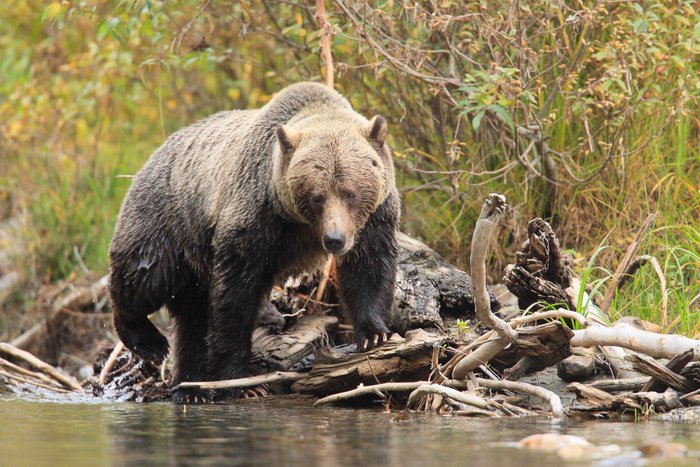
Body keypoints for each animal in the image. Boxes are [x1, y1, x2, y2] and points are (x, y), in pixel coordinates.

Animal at [112, 82, 402, 404]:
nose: (334, 239)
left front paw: (375, 333)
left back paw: (190, 386)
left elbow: (369, 267)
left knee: (191, 318)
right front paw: (243, 381)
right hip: (165, 222)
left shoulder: (373, 218)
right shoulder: (255, 218)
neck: (299, 223)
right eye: (317, 196)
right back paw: (148, 341)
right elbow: (236, 298)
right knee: (145, 279)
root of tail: (154, 154)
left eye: (349, 192)